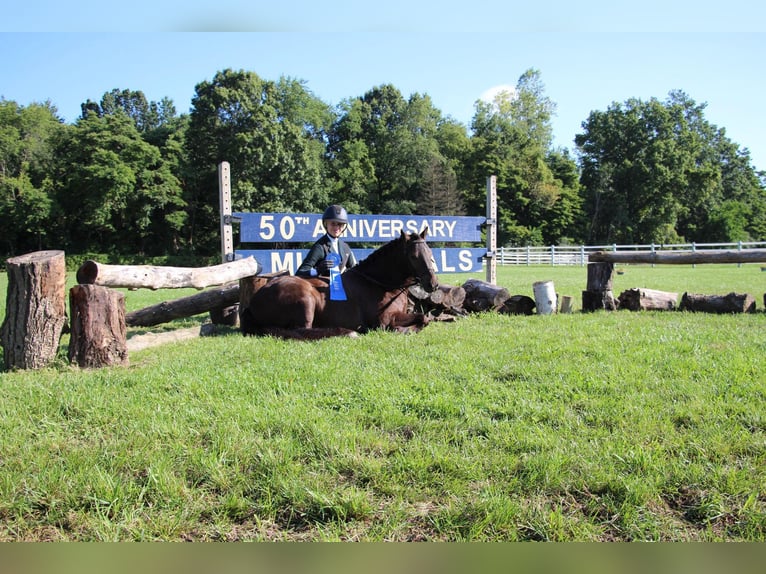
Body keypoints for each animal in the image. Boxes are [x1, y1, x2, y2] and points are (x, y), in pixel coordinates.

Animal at [242, 230, 444, 340]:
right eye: (414, 256)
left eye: (429, 252)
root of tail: (255, 300)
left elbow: (424, 319)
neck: (382, 284)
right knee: (301, 331)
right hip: (306, 300)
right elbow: (421, 318)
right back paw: (345, 332)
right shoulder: (385, 319)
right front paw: (403, 330)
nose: (432, 284)